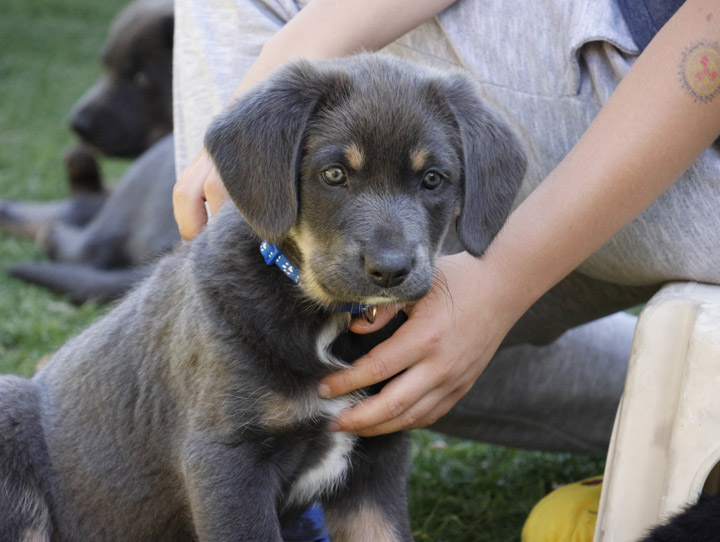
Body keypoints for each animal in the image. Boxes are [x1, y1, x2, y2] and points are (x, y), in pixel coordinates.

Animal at [1, 55, 528, 542]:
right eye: (334, 174)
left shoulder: (376, 459)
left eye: (433, 179)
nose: (390, 270)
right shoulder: (227, 459)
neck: (325, 326)